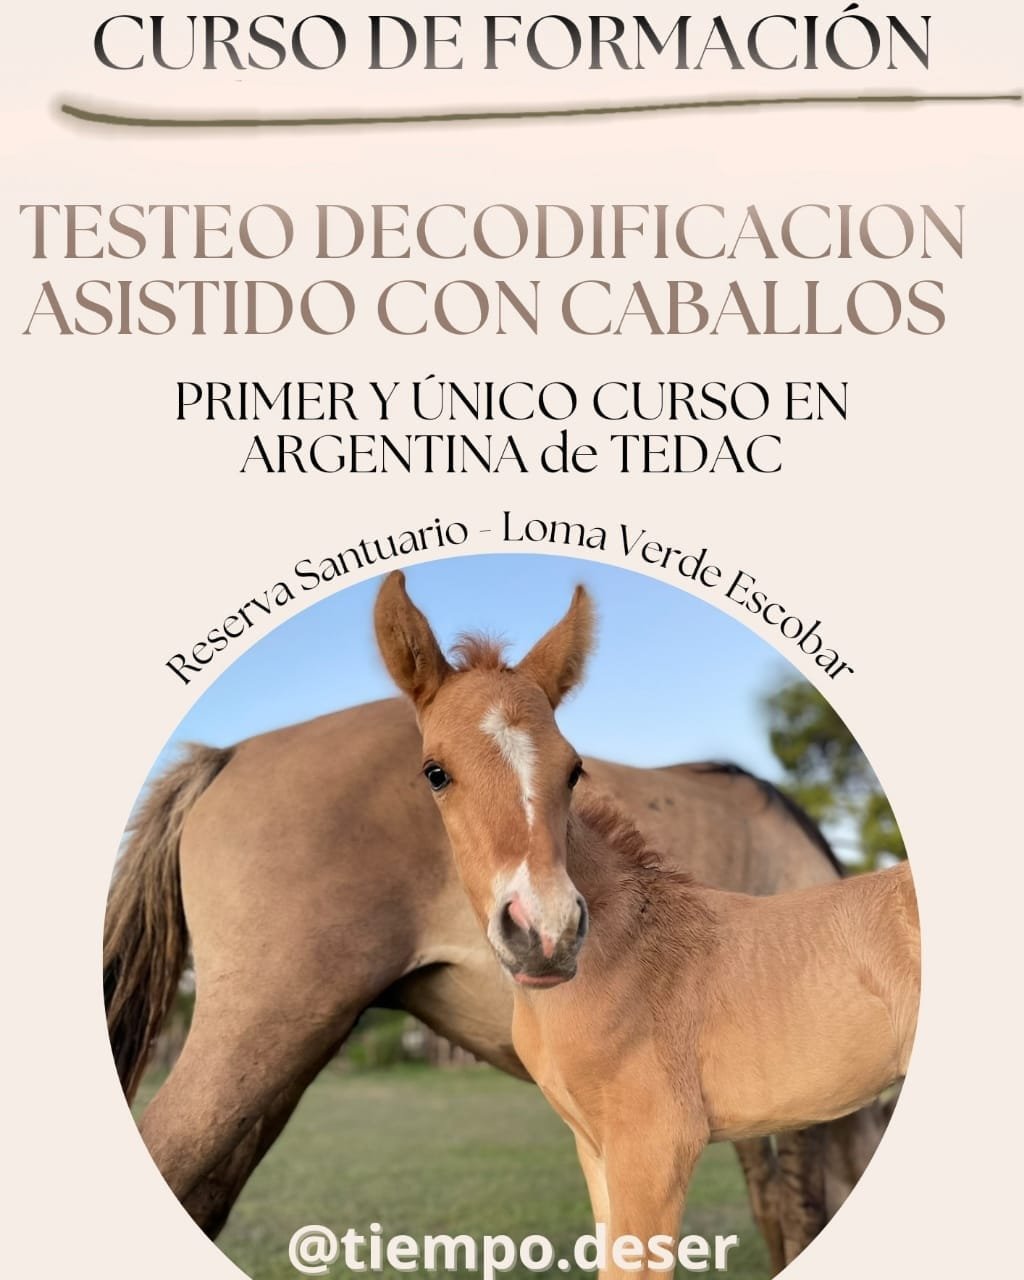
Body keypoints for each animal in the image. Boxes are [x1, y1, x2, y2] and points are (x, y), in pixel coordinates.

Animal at [374, 571, 920, 1278]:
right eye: (435, 772)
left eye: (573, 769)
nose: (546, 933)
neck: (625, 957)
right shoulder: (596, 1150)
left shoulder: (656, 1149)